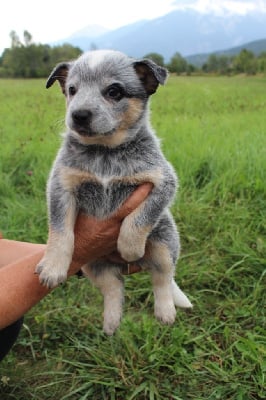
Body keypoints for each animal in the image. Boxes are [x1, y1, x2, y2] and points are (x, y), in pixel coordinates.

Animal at [36, 49, 192, 334]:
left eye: (114, 91)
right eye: (72, 89)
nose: (79, 114)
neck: (105, 153)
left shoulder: (163, 181)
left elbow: (138, 219)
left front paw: (129, 247)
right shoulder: (61, 185)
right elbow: (60, 231)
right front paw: (52, 267)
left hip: (164, 243)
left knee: (162, 279)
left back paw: (165, 311)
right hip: (91, 263)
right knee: (113, 287)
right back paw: (111, 321)